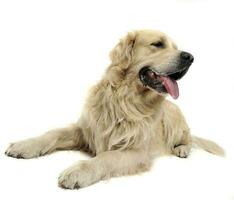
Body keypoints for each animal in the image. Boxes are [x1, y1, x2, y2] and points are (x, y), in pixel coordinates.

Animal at [4, 29, 225, 189]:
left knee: (188, 139)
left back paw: (182, 149)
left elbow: (107, 156)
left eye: (176, 47)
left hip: (174, 120)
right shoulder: (86, 130)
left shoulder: (136, 151)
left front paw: (78, 171)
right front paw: (24, 145)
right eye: (157, 44)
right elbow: (53, 132)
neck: (124, 100)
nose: (190, 57)